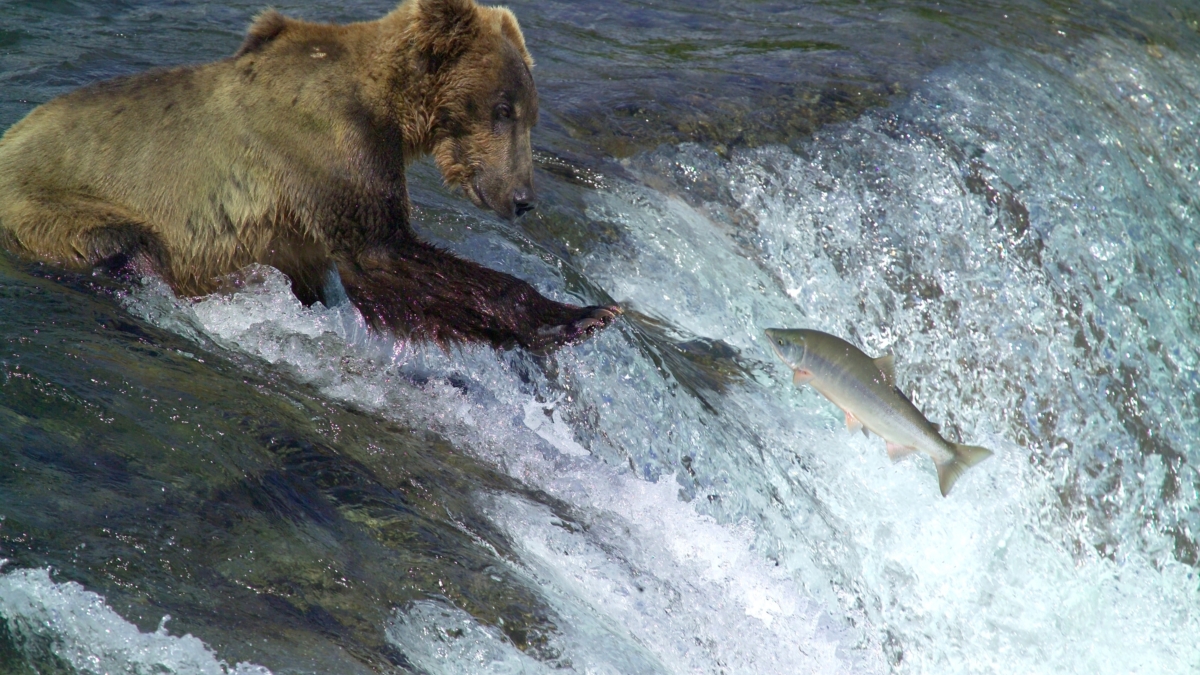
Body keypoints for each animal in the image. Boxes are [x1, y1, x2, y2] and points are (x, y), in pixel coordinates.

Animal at [0, 0, 619, 351]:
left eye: (528, 114)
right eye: (502, 108)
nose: (523, 197)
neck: (389, 111)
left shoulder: (298, 224)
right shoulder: (326, 151)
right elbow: (385, 256)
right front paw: (582, 315)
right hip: (51, 205)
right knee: (124, 242)